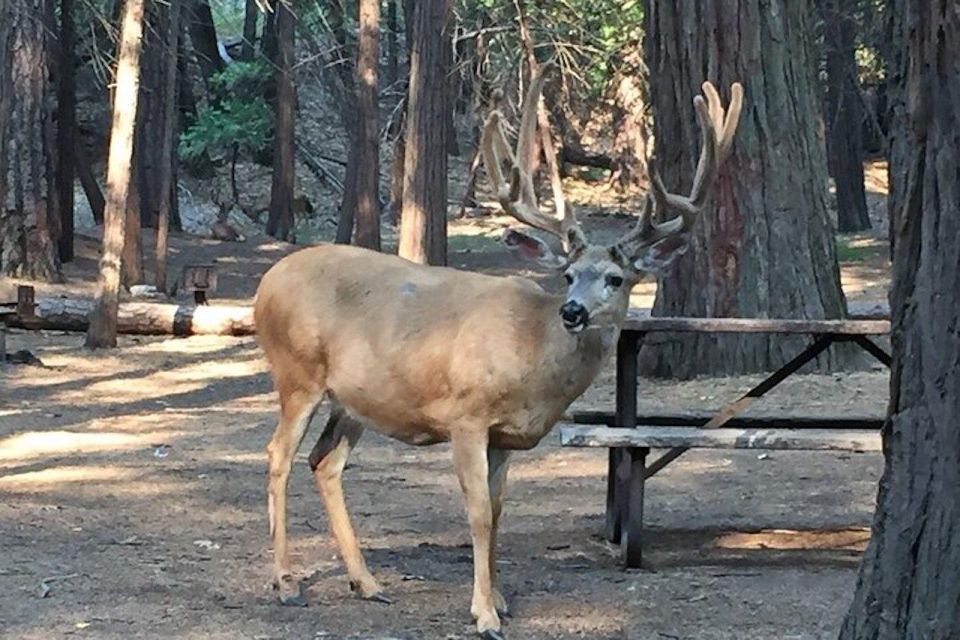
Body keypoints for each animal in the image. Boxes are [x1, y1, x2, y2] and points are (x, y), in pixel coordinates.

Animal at [255, 66, 744, 640]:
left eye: (616, 278)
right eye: (568, 275)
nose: (573, 312)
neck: (532, 356)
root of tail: (266, 283)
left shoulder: (507, 437)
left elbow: (501, 511)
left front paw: (503, 599)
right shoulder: (466, 416)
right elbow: (479, 514)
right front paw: (484, 614)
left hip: (351, 400)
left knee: (325, 463)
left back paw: (367, 583)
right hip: (297, 375)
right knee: (279, 456)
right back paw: (285, 583)